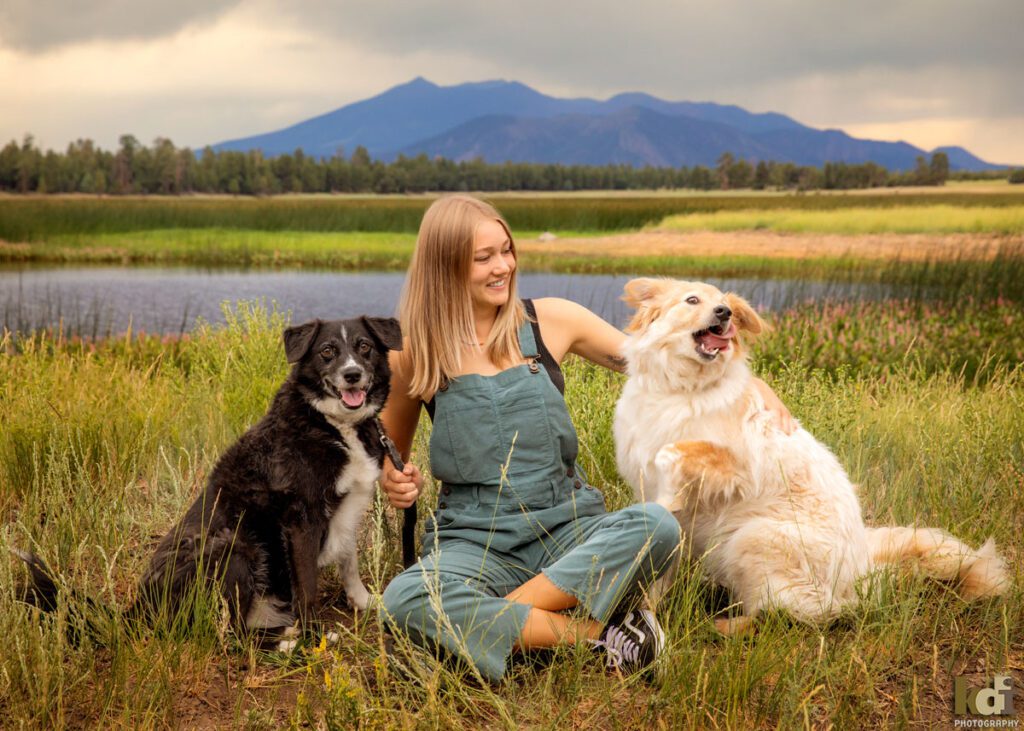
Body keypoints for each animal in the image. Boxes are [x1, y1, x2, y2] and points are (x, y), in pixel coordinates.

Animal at [19, 315, 401, 647]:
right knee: (229, 634)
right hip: (234, 548)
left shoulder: (346, 509)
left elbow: (349, 563)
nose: (352, 374)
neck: (331, 424)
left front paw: (367, 602)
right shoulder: (302, 521)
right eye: (327, 351)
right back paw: (286, 643)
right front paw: (315, 637)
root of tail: (137, 612)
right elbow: (307, 588)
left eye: (364, 346)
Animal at [614, 278, 1007, 630]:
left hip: (751, 538)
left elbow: (671, 453)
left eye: (724, 304)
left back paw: (725, 625)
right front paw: (647, 606)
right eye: (692, 300)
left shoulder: (737, 468)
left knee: (793, 612)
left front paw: (670, 493)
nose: (724, 312)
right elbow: (660, 569)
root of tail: (862, 574)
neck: (682, 387)